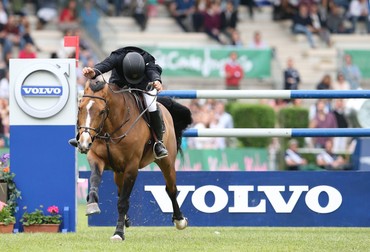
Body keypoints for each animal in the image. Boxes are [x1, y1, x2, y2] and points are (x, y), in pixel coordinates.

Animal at [75, 79, 191, 241]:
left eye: (102, 111)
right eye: (80, 108)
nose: (84, 142)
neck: (111, 129)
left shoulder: (132, 167)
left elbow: (123, 202)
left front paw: (118, 233)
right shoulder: (96, 158)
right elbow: (94, 180)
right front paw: (92, 205)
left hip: (166, 162)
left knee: (171, 189)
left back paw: (180, 220)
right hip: (118, 171)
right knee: (120, 190)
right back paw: (126, 220)